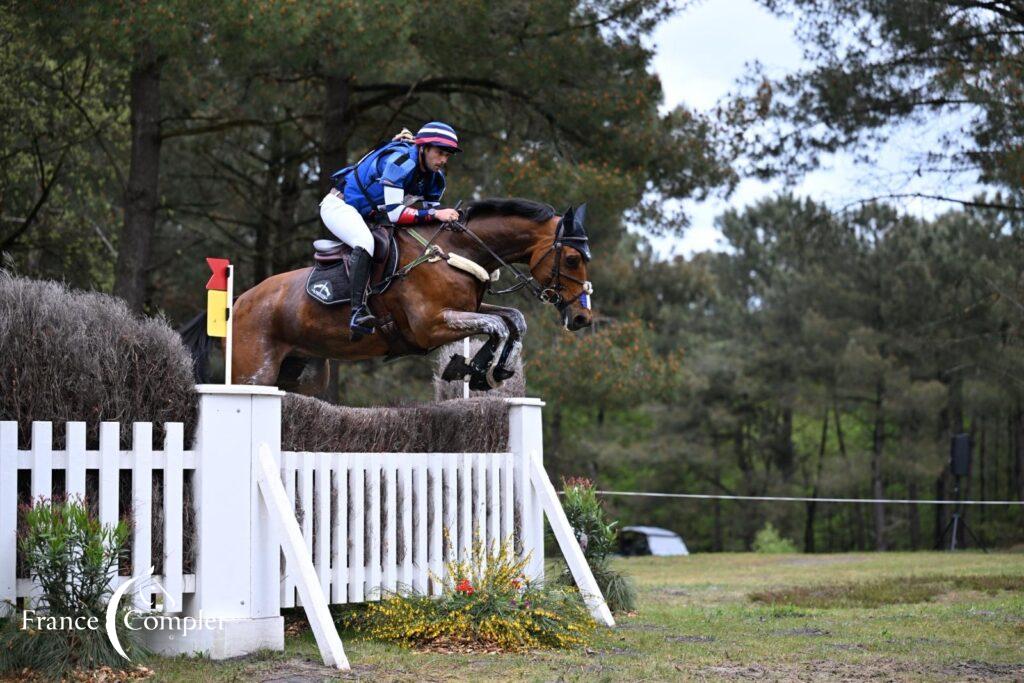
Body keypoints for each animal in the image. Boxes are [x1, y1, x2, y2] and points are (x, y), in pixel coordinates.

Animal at [182, 194, 593, 395]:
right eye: (573, 259)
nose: (581, 318)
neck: (458, 251)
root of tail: (238, 302)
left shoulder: (465, 309)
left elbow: (512, 320)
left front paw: (492, 371)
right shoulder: (431, 325)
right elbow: (498, 325)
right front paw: (473, 369)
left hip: (304, 372)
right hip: (254, 373)